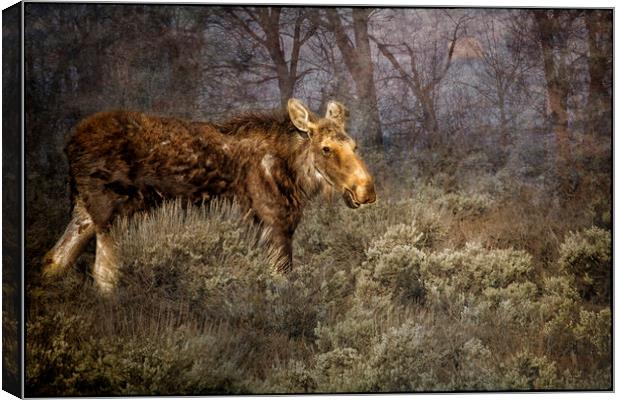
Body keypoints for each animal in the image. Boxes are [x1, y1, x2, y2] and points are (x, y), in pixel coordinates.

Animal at [43, 98, 376, 292]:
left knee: (54, 260)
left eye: (355, 145)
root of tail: (68, 145)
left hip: (85, 212)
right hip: (109, 211)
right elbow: (282, 279)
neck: (297, 172)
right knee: (103, 276)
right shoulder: (275, 220)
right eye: (326, 148)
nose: (366, 189)